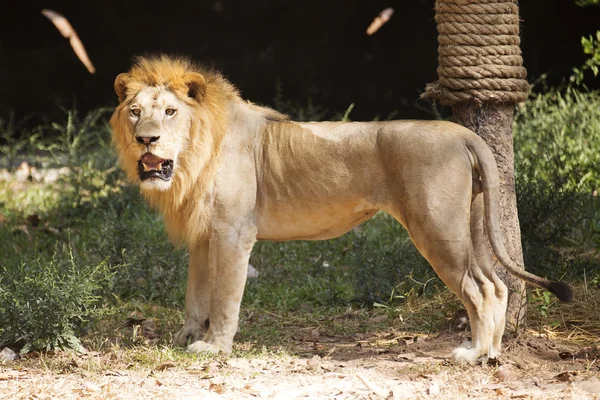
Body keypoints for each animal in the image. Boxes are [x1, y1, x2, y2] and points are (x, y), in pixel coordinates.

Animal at [110, 54, 576, 364]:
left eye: (170, 112)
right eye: (135, 112)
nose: (146, 140)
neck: (192, 158)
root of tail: (464, 134)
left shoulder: (232, 233)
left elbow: (223, 297)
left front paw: (214, 347)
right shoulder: (204, 235)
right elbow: (196, 294)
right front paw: (184, 338)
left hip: (437, 227)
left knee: (478, 288)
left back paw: (473, 354)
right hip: (471, 226)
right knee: (496, 284)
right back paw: (492, 352)